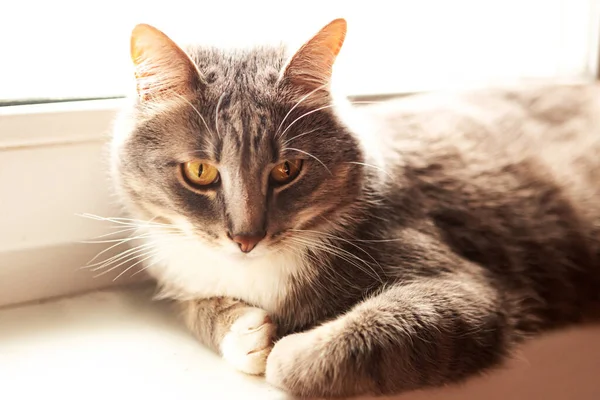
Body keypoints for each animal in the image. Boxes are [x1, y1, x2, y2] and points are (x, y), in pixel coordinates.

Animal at [109, 18, 600, 400]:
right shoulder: (177, 273)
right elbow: (194, 307)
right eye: (200, 171)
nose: (246, 239)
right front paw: (245, 333)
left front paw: (286, 349)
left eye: (286, 169)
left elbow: (369, 334)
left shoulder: (466, 293)